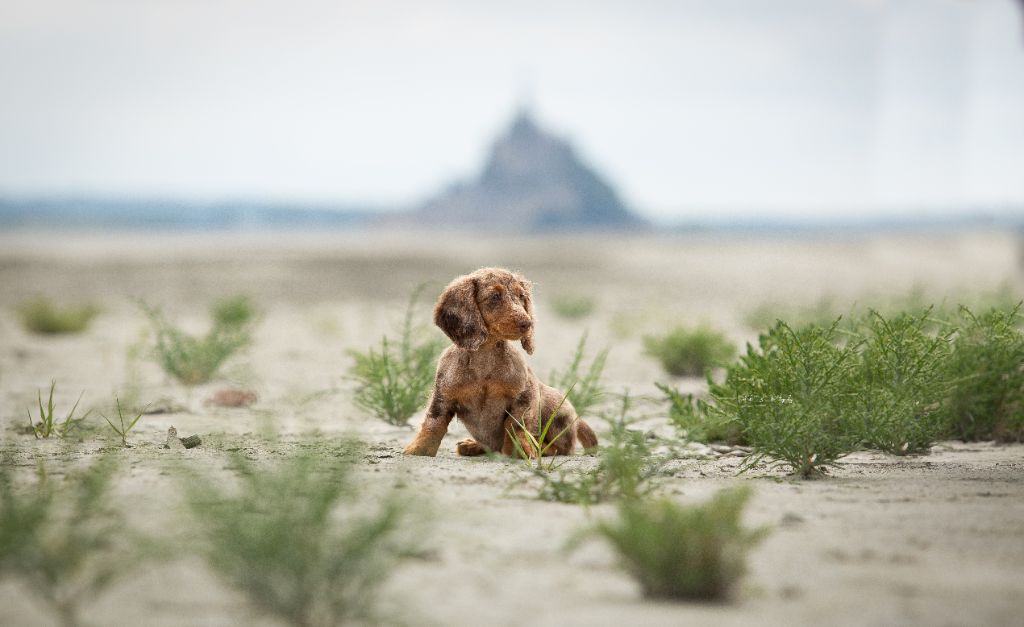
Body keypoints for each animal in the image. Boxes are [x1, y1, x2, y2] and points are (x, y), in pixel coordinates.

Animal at [401, 266, 598, 458]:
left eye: (521, 296)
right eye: (495, 297)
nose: (527, 323)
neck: (485, 361)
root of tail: (577, 421)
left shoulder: (524, 396)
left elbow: (514, 425)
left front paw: (520, 450)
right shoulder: (443, 395)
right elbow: (434, 422)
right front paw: (419, 449)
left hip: (557, 409)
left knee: (562, 447)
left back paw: (539, 447)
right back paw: (474, 446)